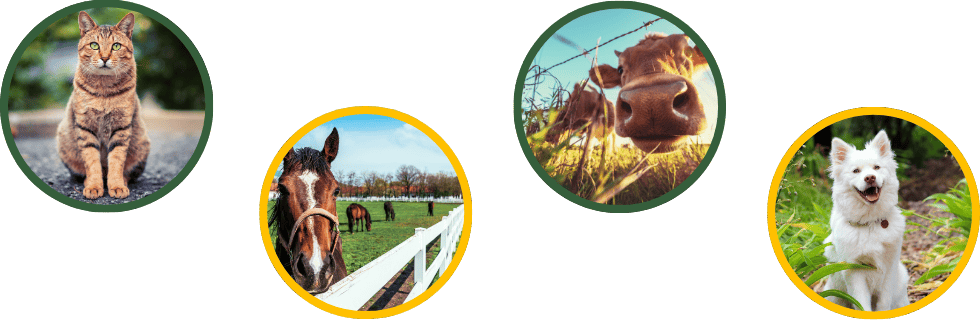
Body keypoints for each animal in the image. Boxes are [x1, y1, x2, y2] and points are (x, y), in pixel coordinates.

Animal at [56, 11, 149, 199]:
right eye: (94, 45)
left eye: (116, 46)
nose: (104, 58)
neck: (104, 89)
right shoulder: (85, 127)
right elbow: (92, 161)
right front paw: (93, 186)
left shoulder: (121, 127)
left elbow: (116, 160)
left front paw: (117, 186)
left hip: (142, 144)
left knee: (128, 172)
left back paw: (122, 181)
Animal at [820, 130, 912, 310]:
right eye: (856, 171)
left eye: (876, 167)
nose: (870, 178)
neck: (871, 222)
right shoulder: (854, 271)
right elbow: (862, 303)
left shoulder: (889, 268)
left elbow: (884, 302)